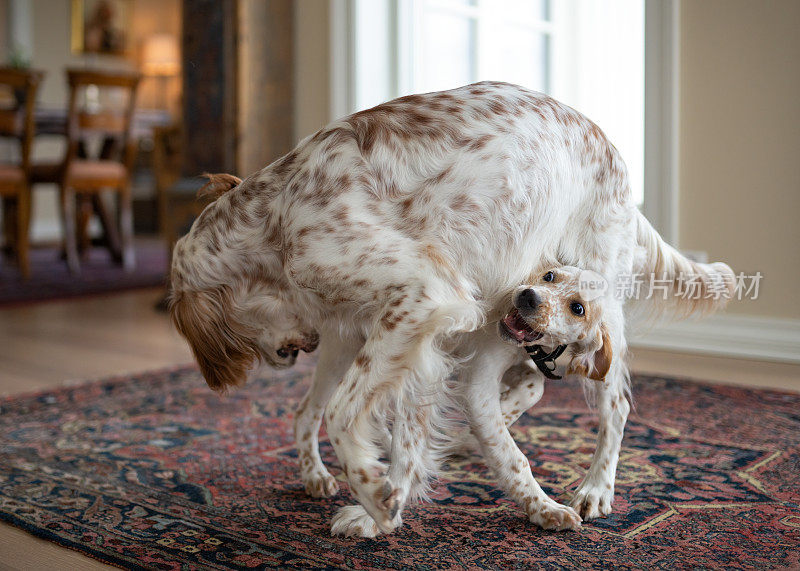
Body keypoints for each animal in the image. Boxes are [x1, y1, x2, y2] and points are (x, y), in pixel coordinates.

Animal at [172, 82, 736, 540]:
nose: (297, 346)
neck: (275, 221)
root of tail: (616, 155)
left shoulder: (422, 298)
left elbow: (345, 416)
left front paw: (374, 495)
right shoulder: (414, 341)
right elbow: (398, 433)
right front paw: (385, 504)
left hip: (598, 313)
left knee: (614, 407)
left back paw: (596, 489)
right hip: (352, 342)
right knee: (309, 409)